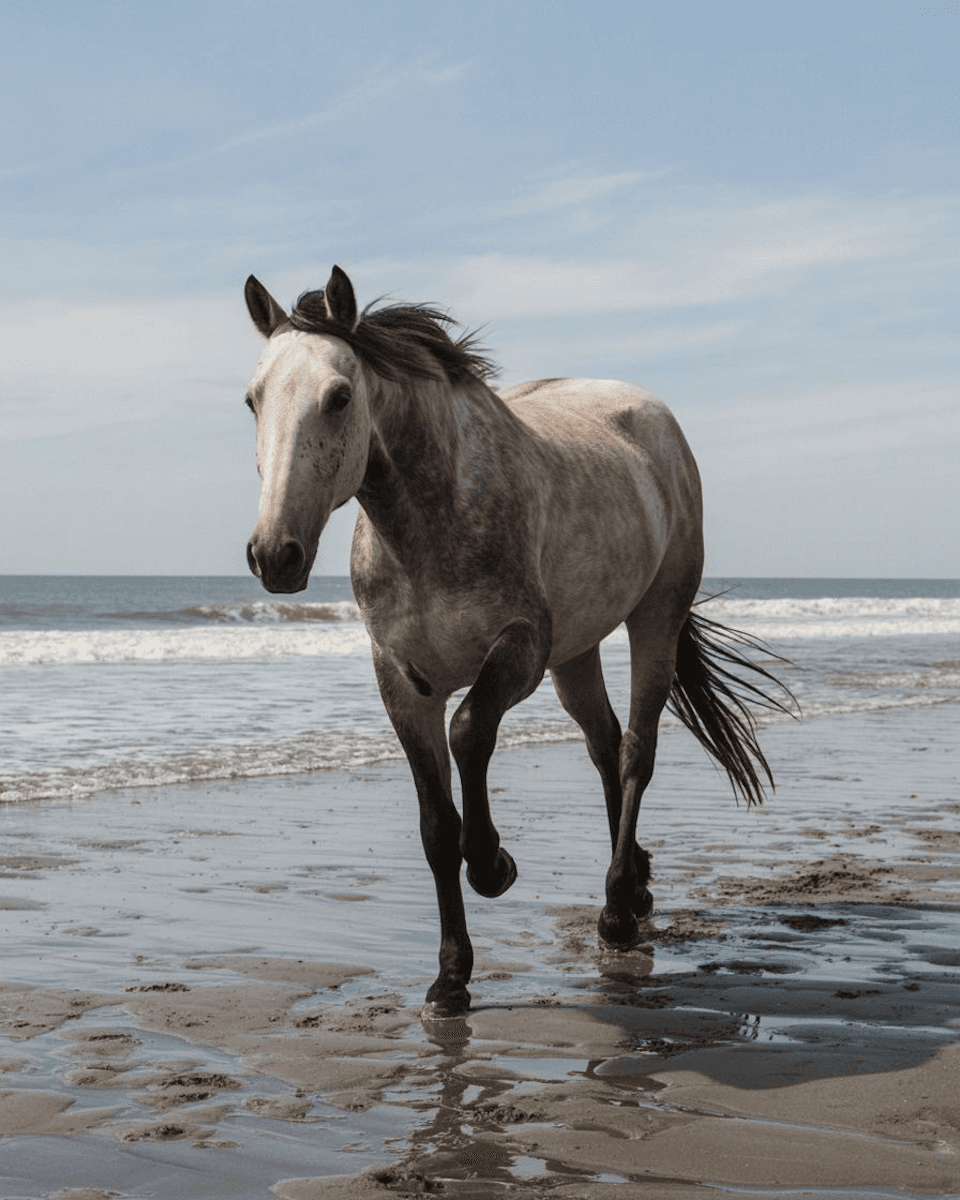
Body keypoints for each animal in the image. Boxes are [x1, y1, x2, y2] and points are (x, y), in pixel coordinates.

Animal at [242, 265, 791, 1018]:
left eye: (339, 396)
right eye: (252, 400)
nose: (275, 555)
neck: (428, 529)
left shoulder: (521, 648)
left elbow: (470, 731)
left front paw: (494, 865)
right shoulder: (402, 681)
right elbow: (435, 826)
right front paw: (450, 978)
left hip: (653, 617)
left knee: (635, 753)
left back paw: (616, 915)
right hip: (577, 651)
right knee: (603, 744)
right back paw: (635, 885)